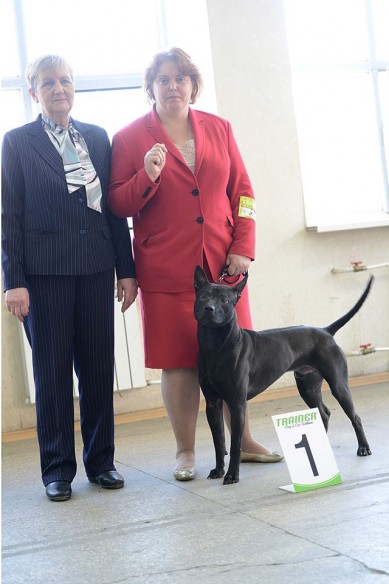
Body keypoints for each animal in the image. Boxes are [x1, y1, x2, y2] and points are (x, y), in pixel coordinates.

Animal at [194, 266, 372, 484]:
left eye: (224, 300)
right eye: (203, 296)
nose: (208, 308)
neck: (215, 345)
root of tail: (325, 331)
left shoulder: (237, 404)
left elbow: (235, 445)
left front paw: (232, 475)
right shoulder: (212, 404)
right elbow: (218, 442)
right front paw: (218, 470)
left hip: (338, 385)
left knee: (355, 417)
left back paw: (363, 448)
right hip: (308, 387)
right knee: (324, 413)